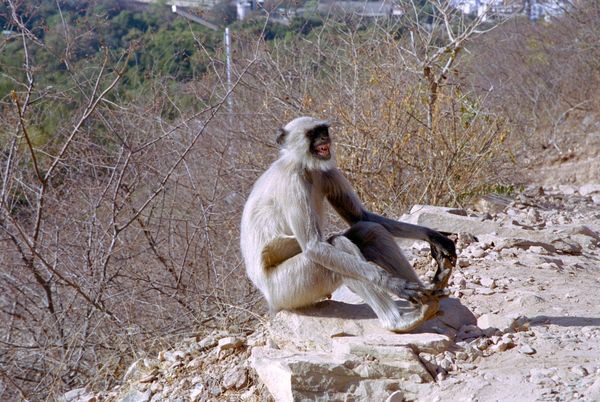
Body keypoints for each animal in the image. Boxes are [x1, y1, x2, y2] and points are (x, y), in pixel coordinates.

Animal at [241, 115, 458, 330]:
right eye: (312, 134)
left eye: (323, 130)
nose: (324, 139)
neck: (303, 166)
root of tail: (270, 300)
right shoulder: (293, 183)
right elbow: (313, 246)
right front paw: (395, 284)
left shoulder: (327, 171)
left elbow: (361, 217)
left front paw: (435, 237)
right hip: (289, 287)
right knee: (337, 245)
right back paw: (398, 321)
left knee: (369, 230)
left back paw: (432, 290)